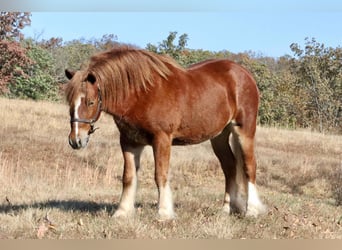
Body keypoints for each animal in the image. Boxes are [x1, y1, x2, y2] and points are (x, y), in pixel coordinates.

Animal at [65, 44, 268, 219]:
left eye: (90, 102)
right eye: (70, 102)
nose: (76, 140)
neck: (141, 94)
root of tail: (245, 74)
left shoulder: (161, 139)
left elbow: (160, 175)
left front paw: (163, 213)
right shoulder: (129, 142)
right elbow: (128, 177)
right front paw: (122, 212)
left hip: (244, 130)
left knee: (249, 166)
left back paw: (252, 210)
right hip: (219, 136)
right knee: (230, 167)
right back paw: (226, 209)